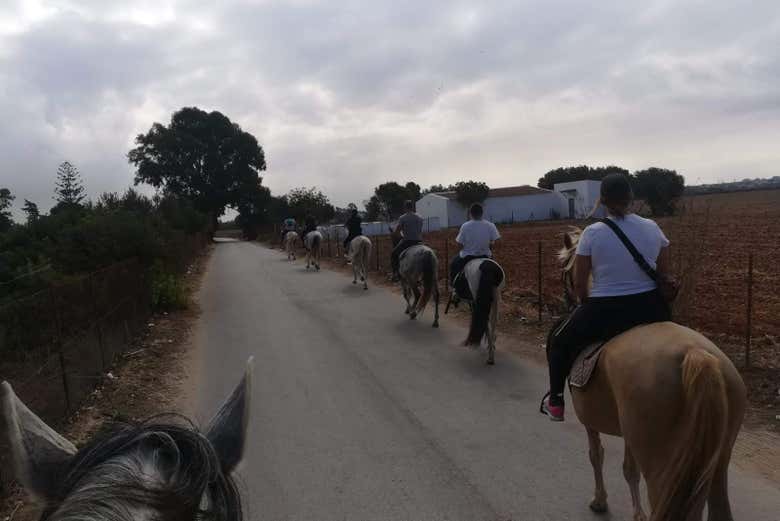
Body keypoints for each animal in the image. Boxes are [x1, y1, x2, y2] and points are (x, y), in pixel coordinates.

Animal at [556, 230, 748, 520]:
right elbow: (628, 469)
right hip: (717, 462)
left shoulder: (591, 422)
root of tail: (696, 354)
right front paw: (636, 513)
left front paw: (600, 501)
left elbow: (597, 455)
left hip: (663, 467)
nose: (570, 300)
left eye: (566, 272)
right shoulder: (629, 434)